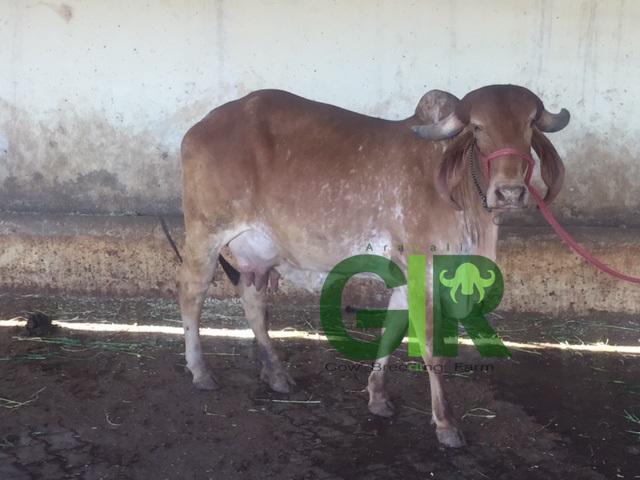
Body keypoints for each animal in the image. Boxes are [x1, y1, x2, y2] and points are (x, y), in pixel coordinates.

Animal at [178, 85, 569, 447]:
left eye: (529, 124)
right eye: (477, 127)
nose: (510, 192)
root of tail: (199, 128)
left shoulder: (404, 277)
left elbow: (392, 332)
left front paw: (378, 396)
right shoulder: (424, 273)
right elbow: (431, 349)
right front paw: (446, 423)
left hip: (259, 255)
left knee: (254, 305)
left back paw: (276, 374)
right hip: (204, 233)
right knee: (192, 296)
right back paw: (200, 371)